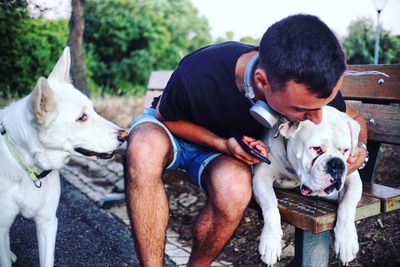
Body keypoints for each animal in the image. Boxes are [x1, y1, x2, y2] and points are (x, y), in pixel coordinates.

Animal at [0, 47, 127, 266]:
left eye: (92, 110)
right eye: (82, 118)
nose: (125, 135)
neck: (28, 166)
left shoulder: (48, 223)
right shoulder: (1, 227)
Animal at [255, 106, 364, 266]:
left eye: (345, 150)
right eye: (316, 148)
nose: (337, 163)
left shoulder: (353, 178)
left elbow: (347, 205)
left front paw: (346, 240)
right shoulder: (260, 176)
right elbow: (270, 206)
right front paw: (270, 242)